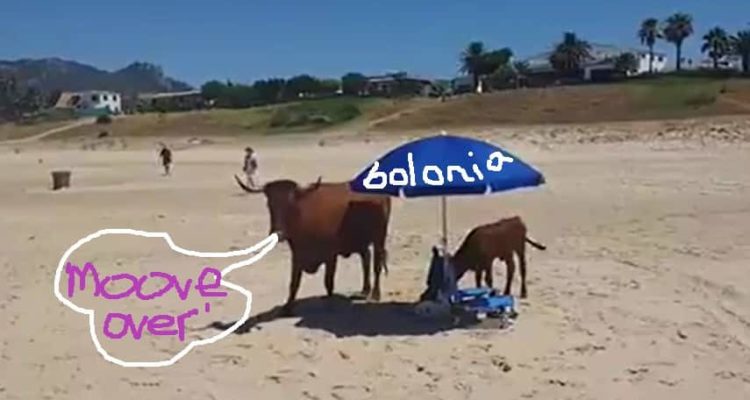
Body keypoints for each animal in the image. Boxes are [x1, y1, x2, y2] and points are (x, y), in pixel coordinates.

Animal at [235, 177, 390, 314]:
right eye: (269, 204)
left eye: (292, 204)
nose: (278, 233)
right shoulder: (297, 255)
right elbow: (294, 283)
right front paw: (287, 307)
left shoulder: (330, 255)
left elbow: (328, 282)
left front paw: (330, 305)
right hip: (361, 241)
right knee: (366, 259)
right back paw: (364, 290)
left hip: (379, 238)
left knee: (376, 264)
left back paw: (375, 294)